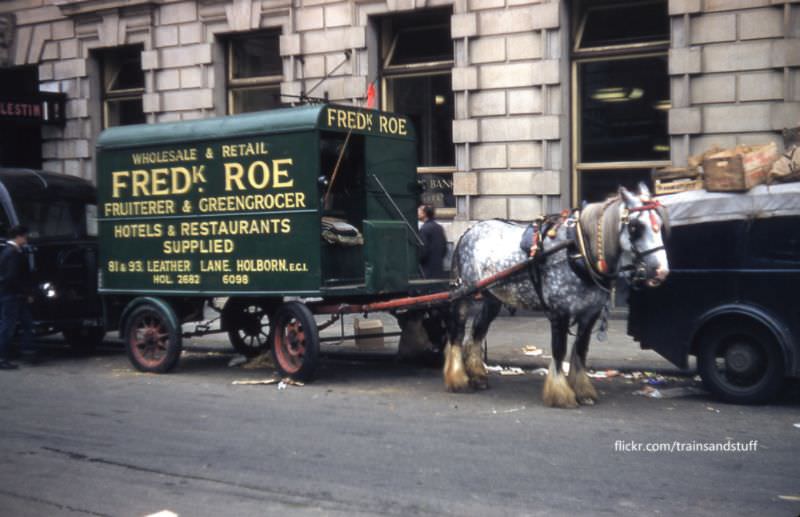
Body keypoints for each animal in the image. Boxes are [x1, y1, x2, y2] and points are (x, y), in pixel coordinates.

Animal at [444, 183, 668, 406]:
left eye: (660, 224)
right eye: (635, 227)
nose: (661, 271)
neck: (578, 251)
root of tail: (468, 231)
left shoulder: (589, 314)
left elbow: (580, 350)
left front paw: (582, 390)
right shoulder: (559, 312)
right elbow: (559, 351)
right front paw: (560, 393)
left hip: (491, 299)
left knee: (476, 334)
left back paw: (477, 376)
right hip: (464, 295)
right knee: (457, 334)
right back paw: (457, 378)